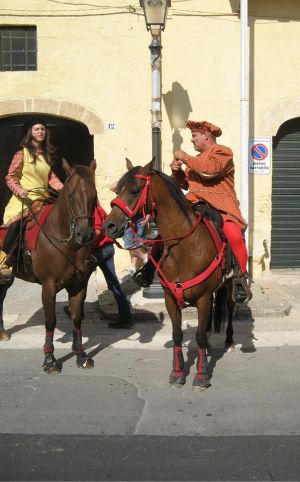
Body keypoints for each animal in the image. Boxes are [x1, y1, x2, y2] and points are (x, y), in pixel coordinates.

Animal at [0, 160, 97, 374]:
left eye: (94, 195)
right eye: (71, 195)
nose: (84, 234)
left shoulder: (79, 285)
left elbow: (76, 318)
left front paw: (81, 355)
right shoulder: (49, 286)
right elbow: (50, 320)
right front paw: (50, 359)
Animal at [104, 159, 236, 392]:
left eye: (134, 191)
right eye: (118, 190)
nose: (109, 226)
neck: (184, 247)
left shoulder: (203, 299)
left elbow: (199, 337)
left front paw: (201, 377)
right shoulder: (170, 299)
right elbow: (177, 336)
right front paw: (177, 373)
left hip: (227, 286)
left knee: (228, 306)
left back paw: (228, 340)